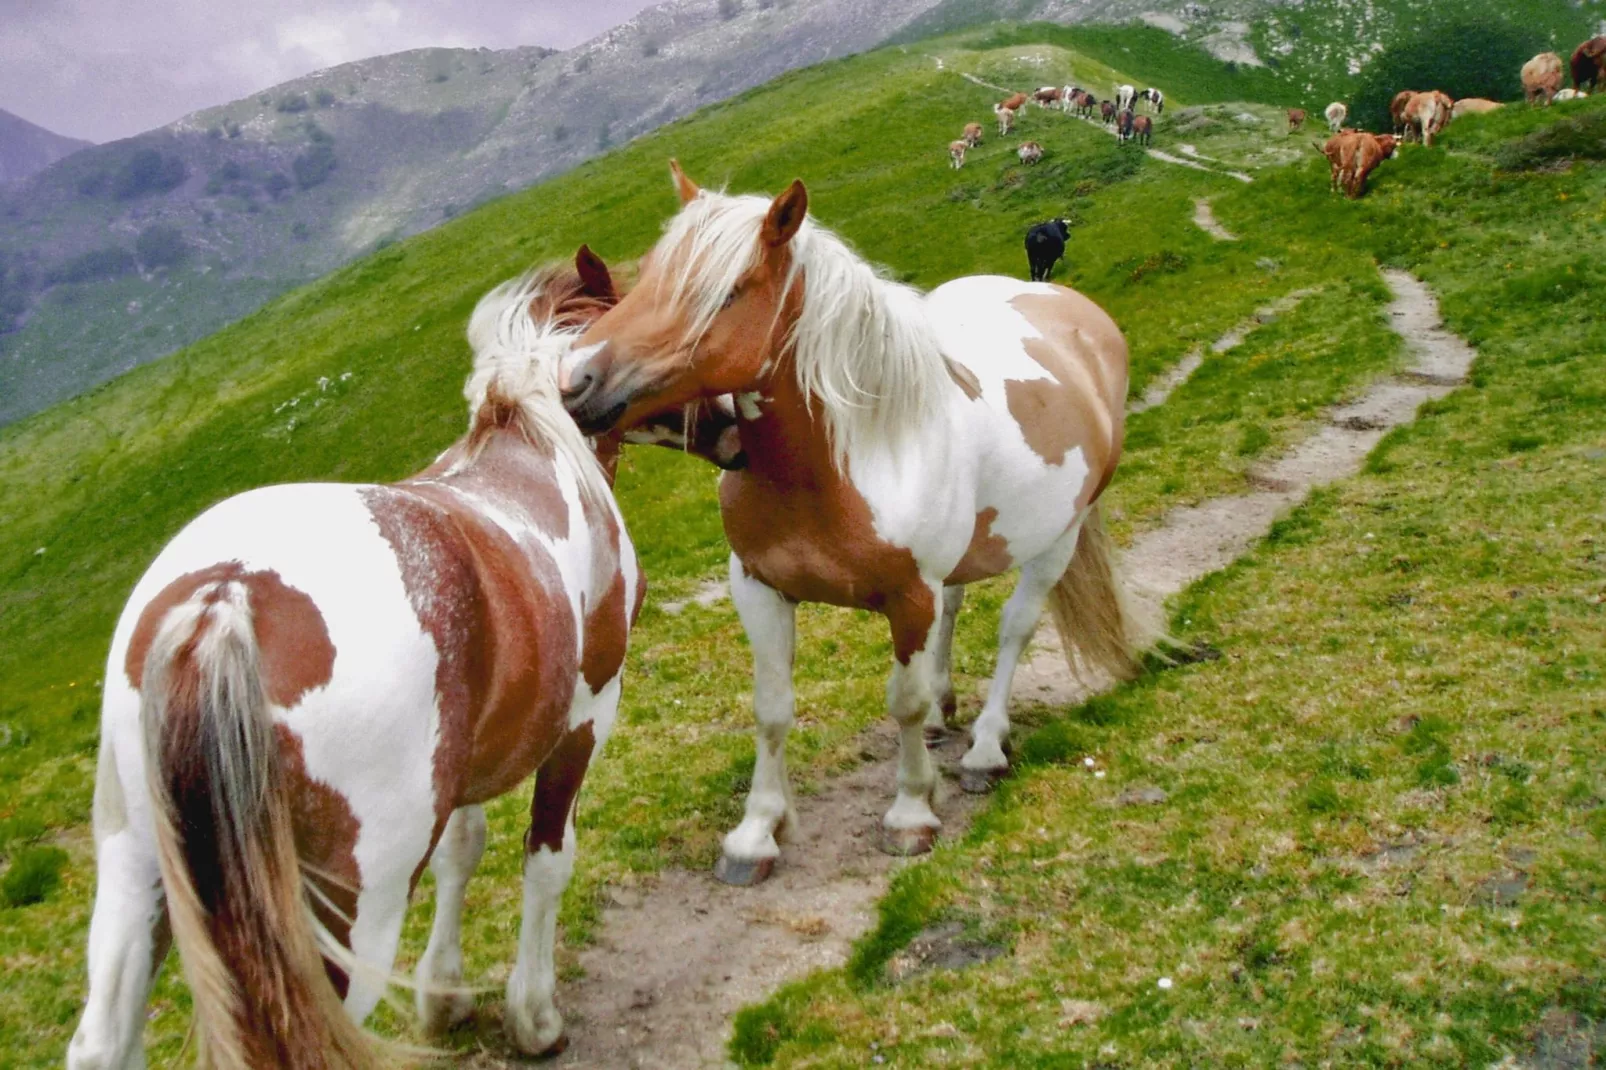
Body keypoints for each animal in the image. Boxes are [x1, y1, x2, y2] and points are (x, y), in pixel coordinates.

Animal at [64, 245, 738, 1060]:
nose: (736, 423)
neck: (535, 449)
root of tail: (226, 600)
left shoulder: (468, 760)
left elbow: (463, 849)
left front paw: (444, 994)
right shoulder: (584, 722)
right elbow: (547, 860)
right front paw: (534, 1016)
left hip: (135, 874)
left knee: (104, 1037)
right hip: (351, 912)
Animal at [565, 162, 1156, 880]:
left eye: (727, 293)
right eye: (649, 274)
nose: (576, 381)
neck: (844, 460)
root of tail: (1076, 312)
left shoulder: (908, 598)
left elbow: (902, 702)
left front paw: (911, 812)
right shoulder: (759, 589)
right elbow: (772, 709)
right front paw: (756, 833)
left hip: (1057, 542)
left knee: (1015, 631)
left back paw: (985, 748)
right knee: (955, 612)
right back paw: (947, 714)